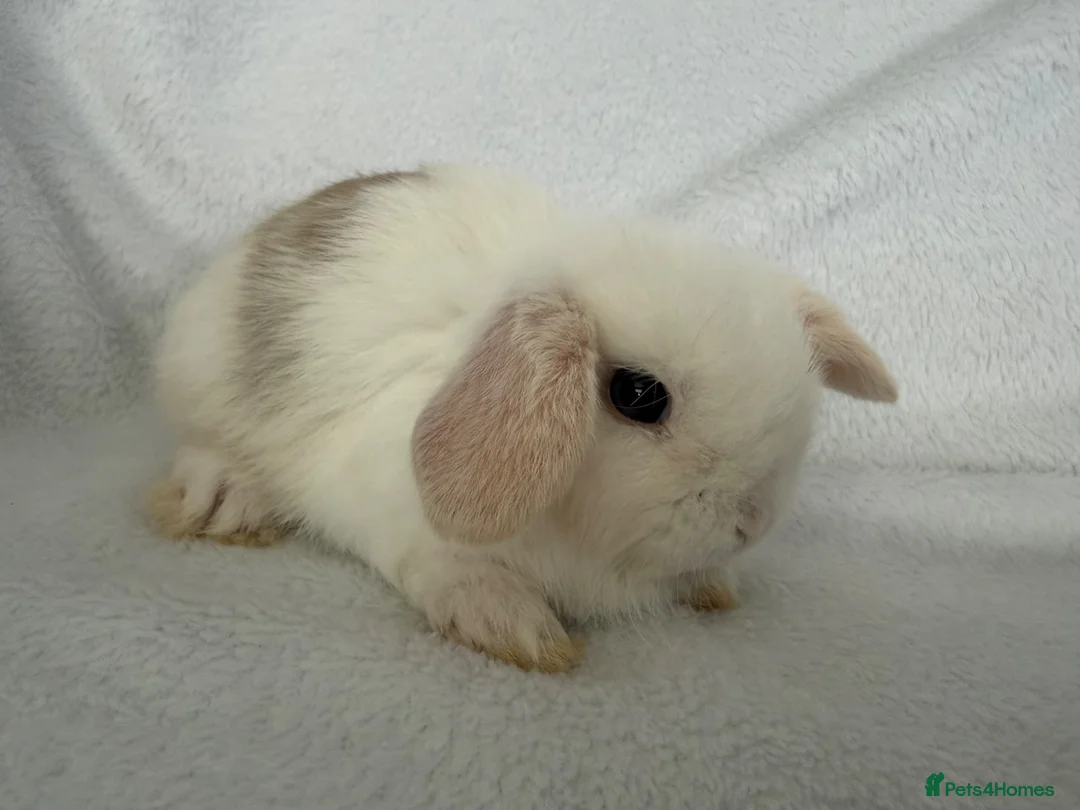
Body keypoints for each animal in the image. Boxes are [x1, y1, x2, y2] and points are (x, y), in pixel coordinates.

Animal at [148, 163, 898, 673]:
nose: (752, 523)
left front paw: (714, 585)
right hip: (201, 382)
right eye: (638, 394)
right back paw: (222, 502)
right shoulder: (393, 514)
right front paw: (516, 629)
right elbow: (447, 568)